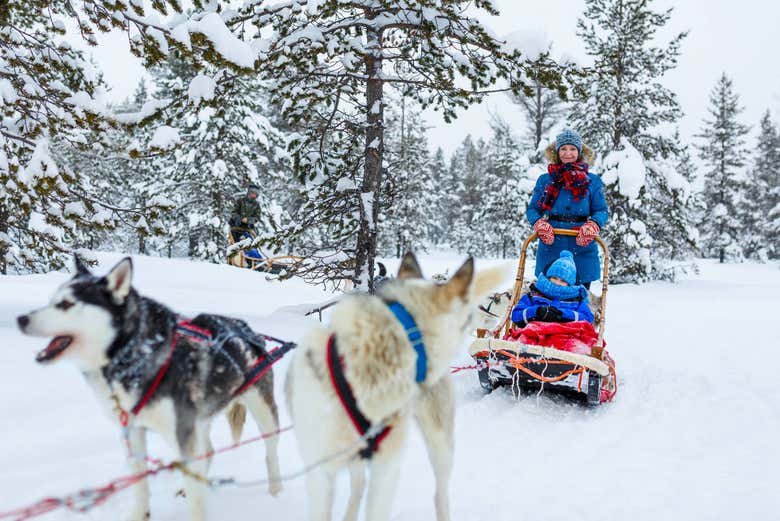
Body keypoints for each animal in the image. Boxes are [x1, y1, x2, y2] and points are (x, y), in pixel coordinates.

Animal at [17, 256, 284, 520]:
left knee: (270, 452)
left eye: (65, 304)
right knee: (207, 452)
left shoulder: (181, 431)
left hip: (262, 412)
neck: (138, 354)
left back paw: (276, 494)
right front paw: (140, 514)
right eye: (52, 300)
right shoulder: (134, 431)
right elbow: (141, 484)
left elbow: (197, 502)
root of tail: (248, 330)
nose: (21, 319)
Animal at [286, 253, 506, 520]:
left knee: (440, 493)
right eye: (467, 317)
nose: (483, 317)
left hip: (440, 445)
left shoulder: (386, 471)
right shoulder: (320, 471)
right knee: (358, 486)